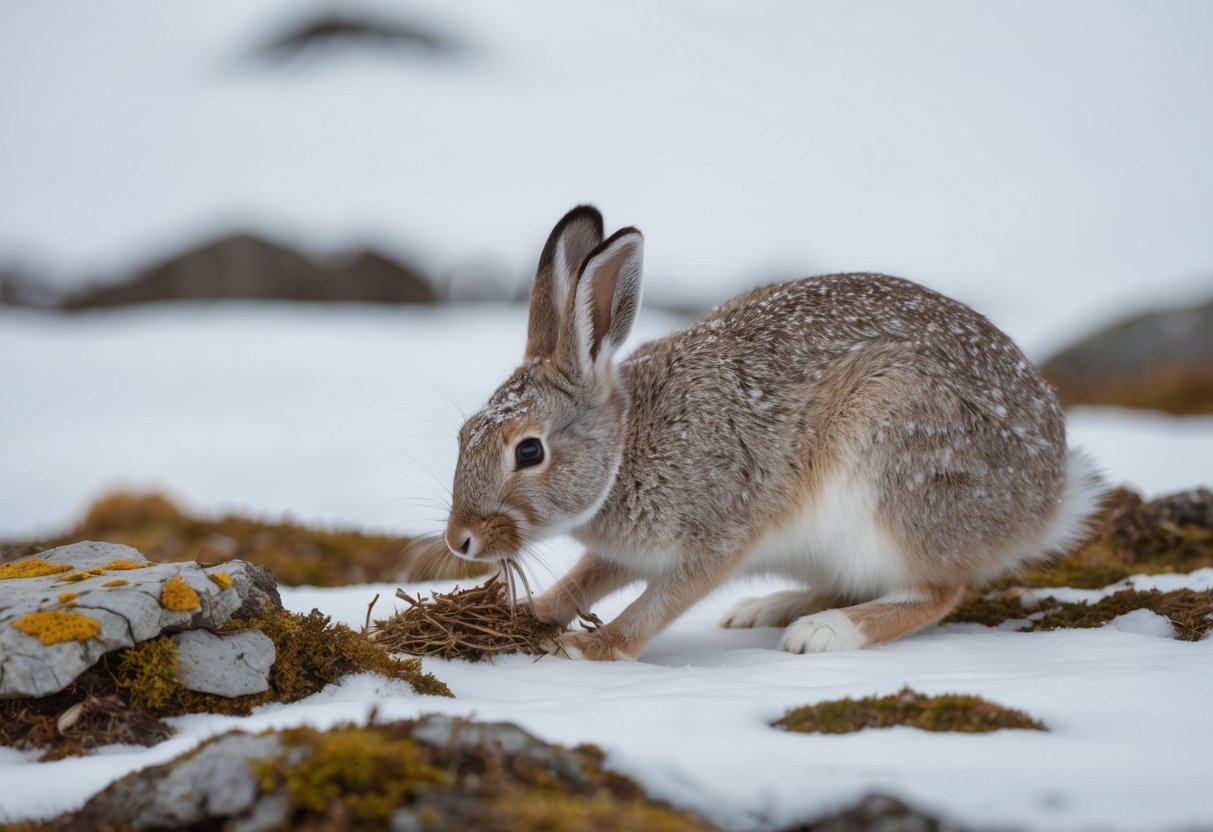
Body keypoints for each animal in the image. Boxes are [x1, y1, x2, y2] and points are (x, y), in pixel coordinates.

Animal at [445, 205, 1104, 661]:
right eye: (463, 434)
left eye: (529, 451)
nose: (460, 541)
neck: (627, 446)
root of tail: (1049, 495)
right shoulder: (623, 551)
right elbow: (585, 579)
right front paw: (530, 610)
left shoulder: (717, 532)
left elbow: (660, 603)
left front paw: (589, 648)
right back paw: (770, 608)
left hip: (895, 471)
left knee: (938, 592)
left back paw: (821, 632)